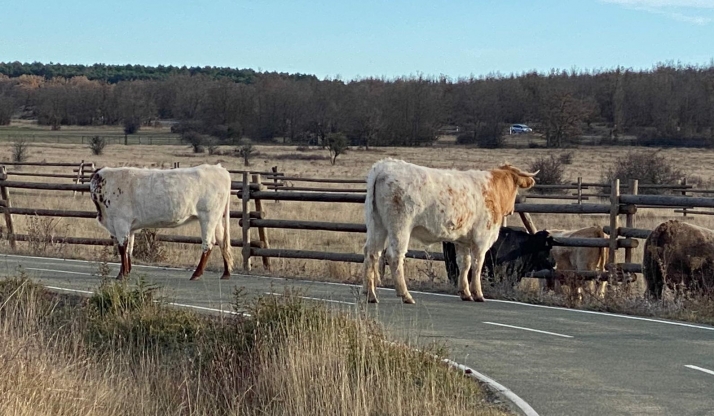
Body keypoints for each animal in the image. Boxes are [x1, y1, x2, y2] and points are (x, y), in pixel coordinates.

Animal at [90, 163, 233, 280]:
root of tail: (219, 169)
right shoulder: (129, 228)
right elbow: (129, 249)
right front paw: (125, 272)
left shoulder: (121, 223)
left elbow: (122, 248)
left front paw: (122, 275)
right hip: (216, 219)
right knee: (222, 241)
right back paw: (226, 273)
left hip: (208, 217)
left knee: (208, 244)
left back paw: (196, 274)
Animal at [362, 158, 538, 304]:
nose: (512, 209)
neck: (491, 189)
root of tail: (384, 166)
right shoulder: (481, 239)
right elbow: (477, 265)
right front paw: (478, 294)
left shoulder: (462, 241)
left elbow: (464, 264)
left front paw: (465, 293)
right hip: (400, 227)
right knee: (394, 256)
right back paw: (405, 295)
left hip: (377, 225)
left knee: (372, 253)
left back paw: (370, 294)